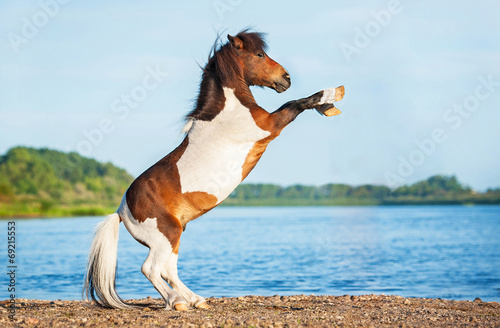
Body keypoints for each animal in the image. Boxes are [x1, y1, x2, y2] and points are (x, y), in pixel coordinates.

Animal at [84, 30, 346, 310]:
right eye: (259, 54)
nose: (286, 78)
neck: (230, 111)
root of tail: (122, 210)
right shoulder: (270, 126)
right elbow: (295, 103)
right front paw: (331, 94)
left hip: (171, 237)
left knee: (168, 269)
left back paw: (196, 300)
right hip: (166, 235)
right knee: (152, 269)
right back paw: (178, 302)